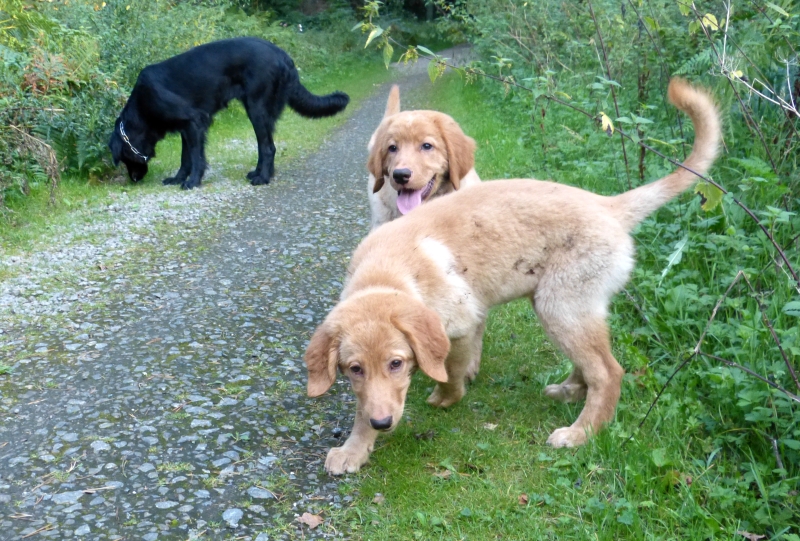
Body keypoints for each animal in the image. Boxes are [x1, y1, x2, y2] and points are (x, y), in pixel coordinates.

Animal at [109, 37, 349, 190]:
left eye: (125, 160)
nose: (134, 180)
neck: (143, 105)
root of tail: (283, 56)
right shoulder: (187, 128)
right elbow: (185, 158)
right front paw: (177, 179)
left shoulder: (195, 122)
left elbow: (195, 157)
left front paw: (192, 182)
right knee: (265, 147)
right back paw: (259, 173)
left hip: (257, 108)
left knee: (268, 147)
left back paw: (262, 178)